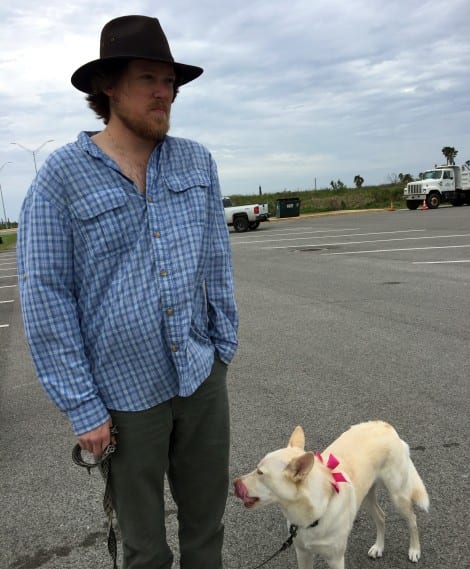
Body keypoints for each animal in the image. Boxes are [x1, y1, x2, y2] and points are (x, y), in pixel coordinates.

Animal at [233, 420, 428, 564]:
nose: (234, 483)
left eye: (260, 472)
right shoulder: (302, 553)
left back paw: (414, 550)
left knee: (412, 519)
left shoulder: (335, 558)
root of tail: (385, 425)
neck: (309, 515)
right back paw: (378, 547)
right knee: (381, 516)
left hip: (398, 495)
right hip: (366, 495)